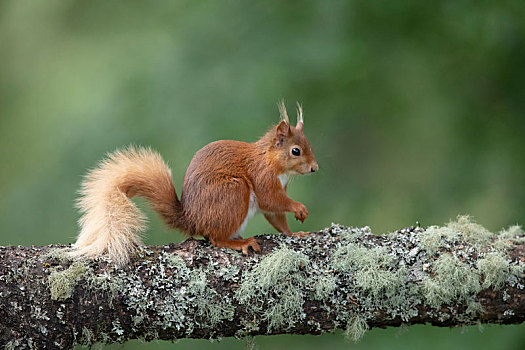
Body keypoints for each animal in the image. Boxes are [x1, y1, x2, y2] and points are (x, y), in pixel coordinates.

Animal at [71, 101, 318, 266]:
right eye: (295, 151)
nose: (315, 168)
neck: (270, 160)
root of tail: (192, 219)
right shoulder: (262, 177)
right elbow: (271, 200)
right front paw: (299, 207)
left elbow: (276, 216)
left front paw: (294, 234)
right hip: (234, 191)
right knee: (215, 238)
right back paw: (240, 243)